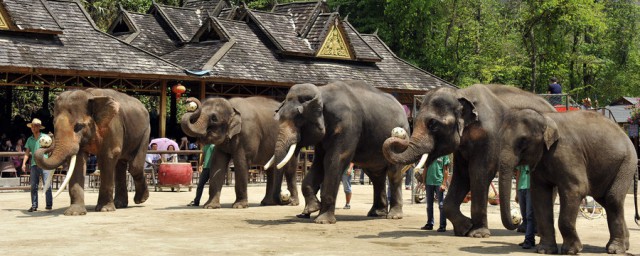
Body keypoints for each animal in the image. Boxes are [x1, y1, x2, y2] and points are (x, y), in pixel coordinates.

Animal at [270, 80, 410, 224]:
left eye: (298, 119)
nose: (284, 199)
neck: (321, 92)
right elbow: (319, 163)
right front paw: (312, 209)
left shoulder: (347, 125)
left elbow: (334, 160)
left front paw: (323, 221)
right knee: (375, 175)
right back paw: (376, 213)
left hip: (401, 140)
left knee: (393, 173)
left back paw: (394, 215)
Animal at [382, 84, 556, 236]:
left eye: (433, 124)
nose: (398, 133)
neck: (462, 94)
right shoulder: (462, 145)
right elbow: (462, 175)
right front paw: (464, 229)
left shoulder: (490, 136)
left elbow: (480, 173)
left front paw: (478, 234)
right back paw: (525, 230)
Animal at [498, 109, 636, 255]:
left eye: (523, 140)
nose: (516, 222)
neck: (545, 117)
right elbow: (540, 194)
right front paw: (545, 250)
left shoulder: (567, 151)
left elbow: (576, 189)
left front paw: (571, 251)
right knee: (605, 200)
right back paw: (624, 245)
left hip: (626, 163)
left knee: (612, 199)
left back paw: (615, 249)